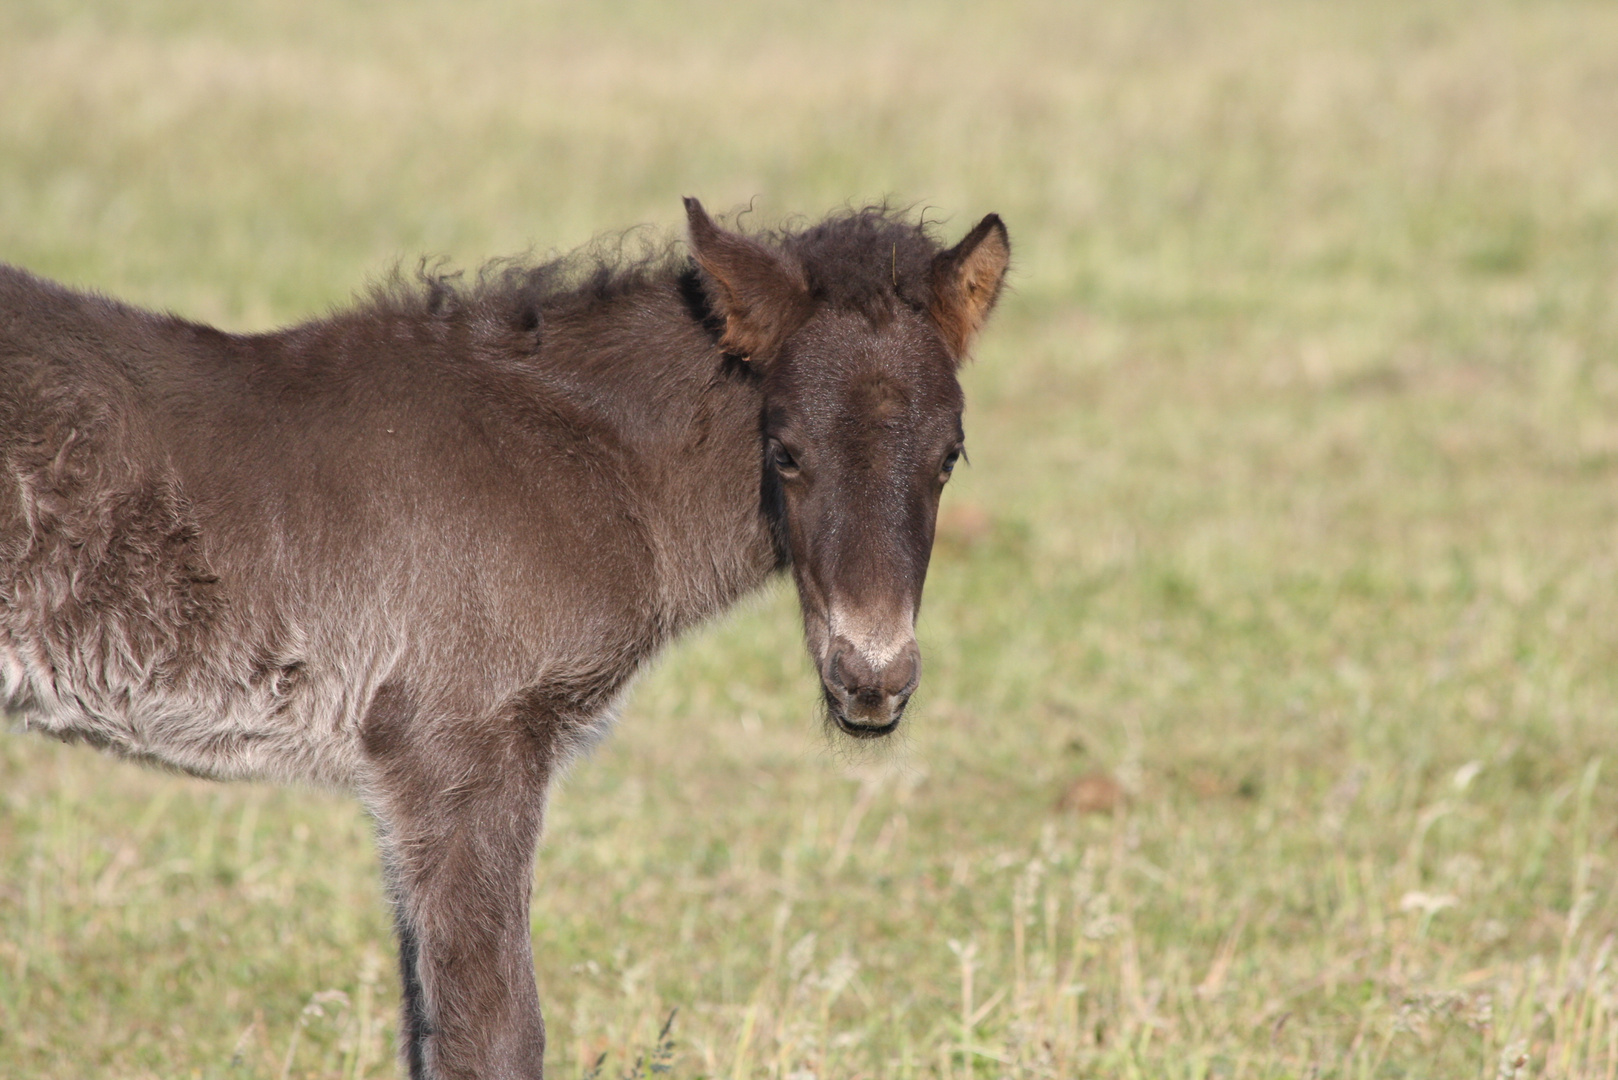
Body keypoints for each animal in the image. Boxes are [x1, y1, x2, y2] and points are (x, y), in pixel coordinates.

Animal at [3, 198, 1009, 1075]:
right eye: (787, 450)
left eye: (950, 454)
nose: (871, 678)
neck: (581, 461)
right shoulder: (459, 750)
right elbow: (491, 1035)